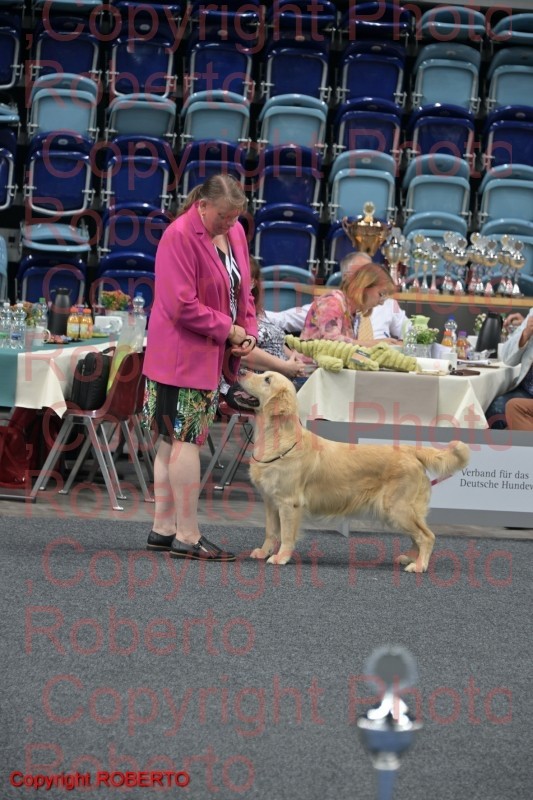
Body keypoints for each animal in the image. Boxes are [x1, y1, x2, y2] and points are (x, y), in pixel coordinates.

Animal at [237, 370, 470, 573]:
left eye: (267, 379)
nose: (241, 371)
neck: (276, 438)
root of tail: (410, 450)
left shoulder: (288, 503)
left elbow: (286, 535)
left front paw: (281, 557)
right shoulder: (270, 501)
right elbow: (270, 531)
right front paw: (263, 552)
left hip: (397, 508)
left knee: (426, 536)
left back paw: (419, 566)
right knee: (418, 536)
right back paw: (410, 558)